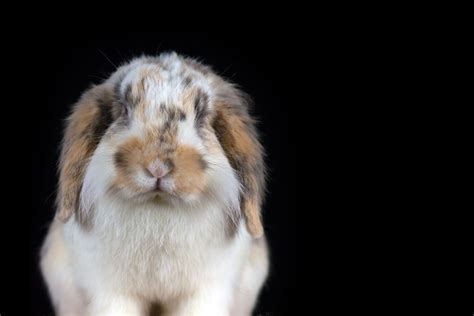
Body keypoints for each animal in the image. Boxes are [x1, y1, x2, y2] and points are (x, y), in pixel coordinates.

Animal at [39, 52, 270, 316]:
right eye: (125, 110)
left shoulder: (206, 290)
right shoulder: (112, 291)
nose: (157, 167)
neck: (158, 207)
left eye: (201, 115)